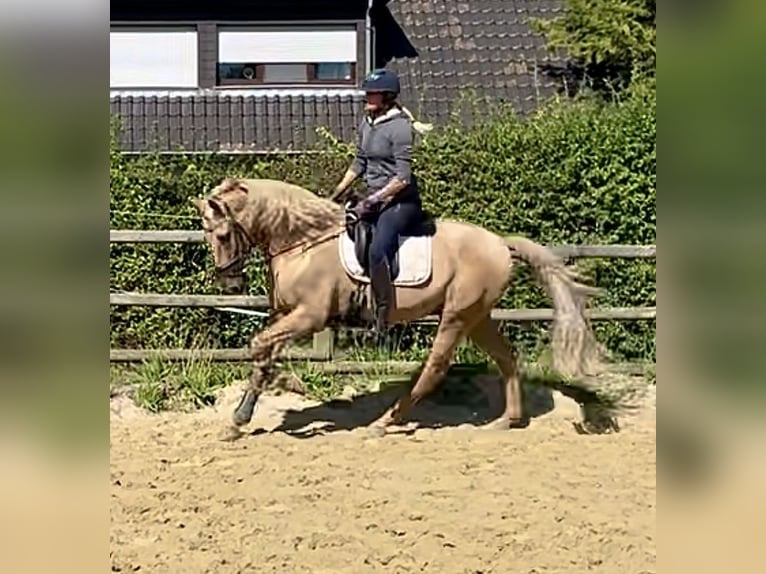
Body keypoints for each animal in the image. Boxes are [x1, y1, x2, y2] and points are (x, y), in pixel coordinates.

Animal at [194, 177, 616, 440]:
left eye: (223, 234)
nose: (230, 284)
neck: (303, 242)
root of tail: (500, 244)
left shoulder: (309, 317)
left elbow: (259, 346)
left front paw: (284, 387)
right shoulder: (287, 316)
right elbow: (263, 352)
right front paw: (241, 419)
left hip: (457, 316)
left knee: (434, 369)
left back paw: (384, 422)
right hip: (478, 316)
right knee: (507, 359)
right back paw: (507, 421)